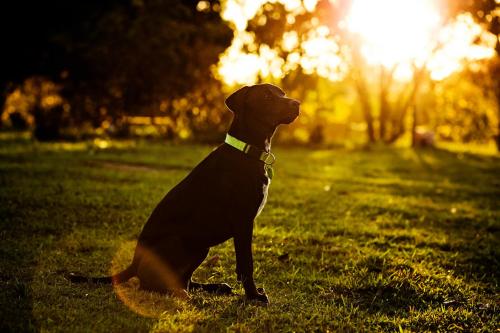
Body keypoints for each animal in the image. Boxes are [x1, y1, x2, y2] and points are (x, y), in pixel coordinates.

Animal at [68, 83, 298, 304]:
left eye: (282, 93)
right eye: (266, 96)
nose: (296, 104)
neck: (246, 151)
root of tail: (133, 263)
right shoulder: (243, 222)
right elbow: (245, 264)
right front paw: (253, 296)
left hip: (200, 246)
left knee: (184, 279)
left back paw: (210, 288)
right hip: (178, 242)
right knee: (150, 284)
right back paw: (181, 294)